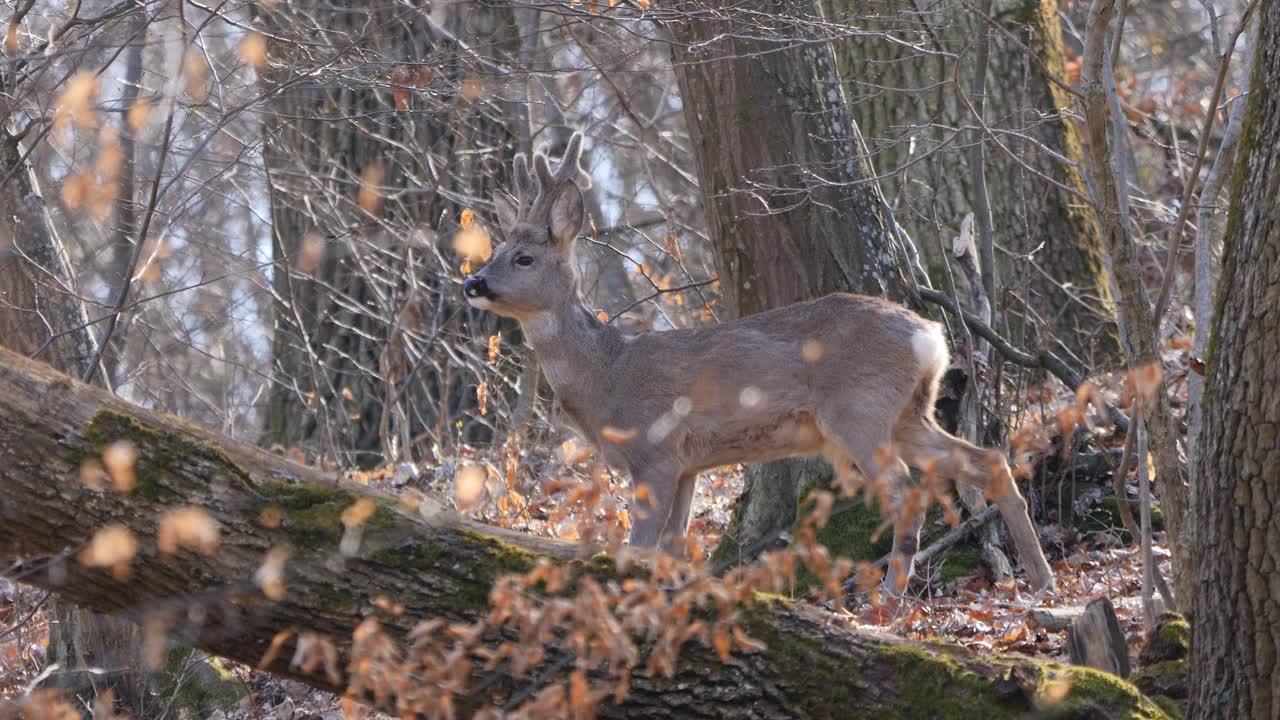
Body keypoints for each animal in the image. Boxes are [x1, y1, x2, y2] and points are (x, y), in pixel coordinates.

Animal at [465, 131, 1054, 591]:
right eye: (494, 251)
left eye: (524, 258)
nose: (474, 283)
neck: (606, 375)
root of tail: (931, 334)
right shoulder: (688, 464)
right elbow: (672, 547)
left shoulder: (655, 450)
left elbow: (640, 547)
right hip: (909, 412)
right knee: (987, 460)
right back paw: (1041, 579)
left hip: (859, 410)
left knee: (905, 491)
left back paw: (889, 599)